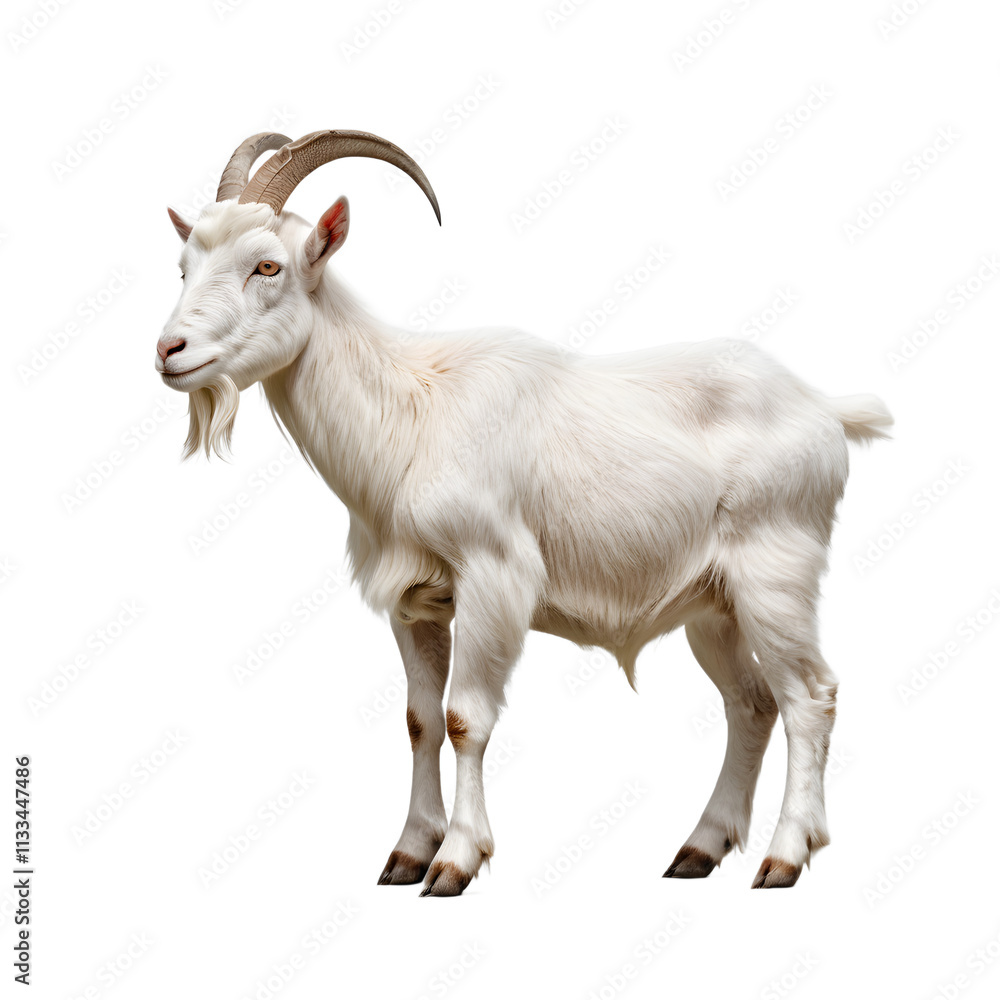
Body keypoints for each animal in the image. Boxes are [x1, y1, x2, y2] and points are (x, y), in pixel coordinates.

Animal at [157, 130, 892, 895]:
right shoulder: (416, 600)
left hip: (775, 573)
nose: (169, 351)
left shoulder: (492, 576)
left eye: (267, 264)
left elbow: (465, 719)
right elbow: (420, 720)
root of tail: (822, 409)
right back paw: (699, 849)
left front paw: (454, 861)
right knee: (751, 702)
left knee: (810, 696)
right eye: (183, 267)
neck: (409, 414)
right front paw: (407, 852)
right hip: (714, 605)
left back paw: (785, 856)